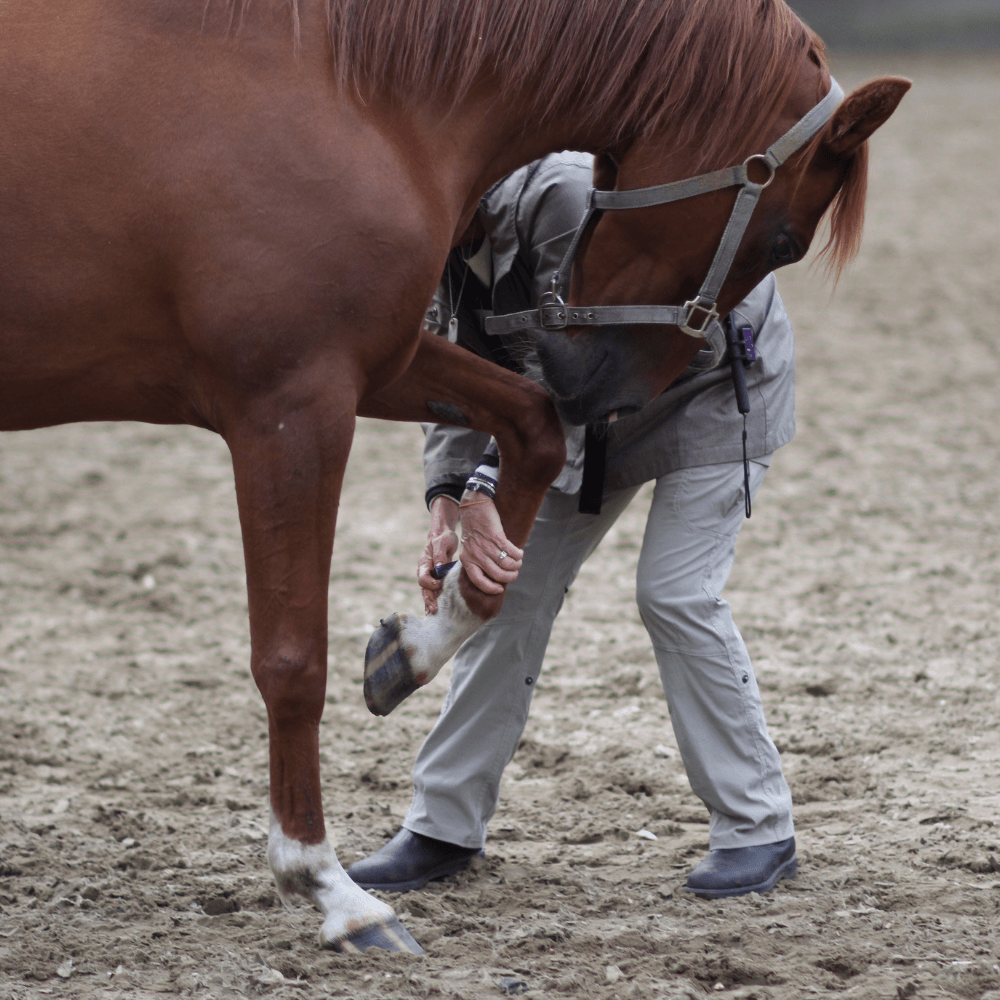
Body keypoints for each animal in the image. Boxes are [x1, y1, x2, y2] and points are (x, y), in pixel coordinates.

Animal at [0, 0, 907, 954]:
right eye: (784, 237)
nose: (602, 391)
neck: (347, 88)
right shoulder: (292, 402)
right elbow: (292, 660)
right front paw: (328, 887)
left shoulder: (385, 361)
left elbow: (531, 434)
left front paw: (430, 626)